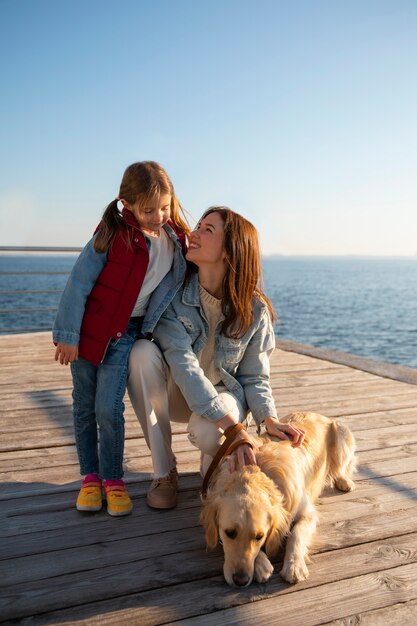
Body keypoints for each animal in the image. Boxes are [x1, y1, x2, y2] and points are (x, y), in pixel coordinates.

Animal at [200, 410, 356, 584]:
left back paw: (344, 481)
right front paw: (261, 564)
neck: (255, 470)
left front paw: (294, 566)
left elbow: (296, 533)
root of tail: (318, 414)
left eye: (259, 536)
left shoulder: (307, 513)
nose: (241, 580)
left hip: (342, 433)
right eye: (229, 533)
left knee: (341, 468)